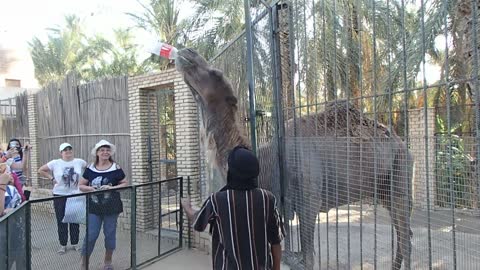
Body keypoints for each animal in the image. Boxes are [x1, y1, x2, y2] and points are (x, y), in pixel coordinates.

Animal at [175, 47, 412, 268]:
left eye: (215, 73)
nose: (188, 52)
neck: (267, 161)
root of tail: (401, 142)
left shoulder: (309, 198)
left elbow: (307, 257)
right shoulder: (282, 202)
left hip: (400, 173)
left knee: (404, 234)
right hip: (383, 187)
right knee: (403, 233)